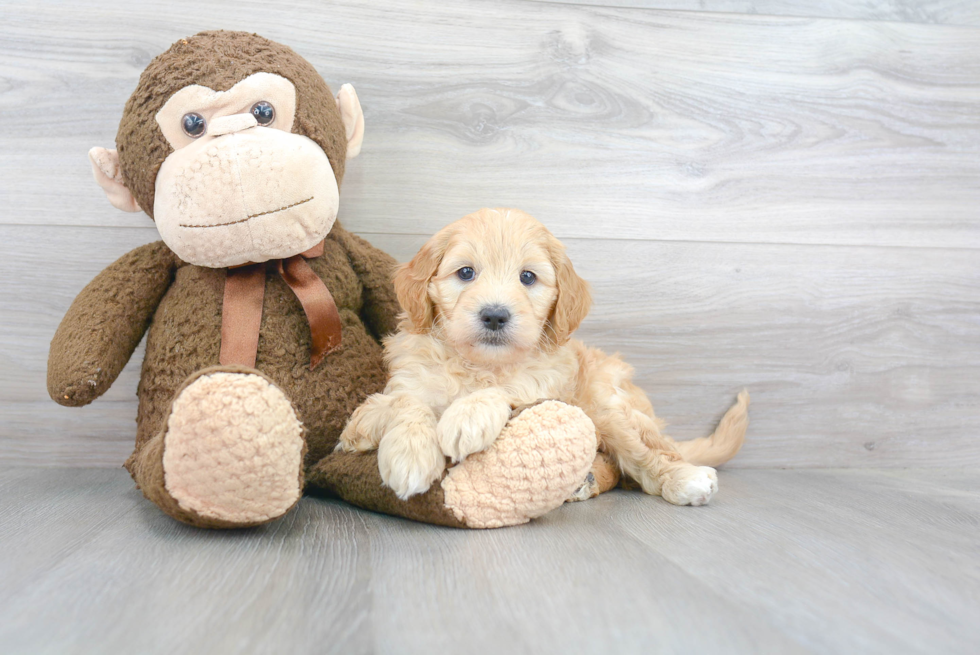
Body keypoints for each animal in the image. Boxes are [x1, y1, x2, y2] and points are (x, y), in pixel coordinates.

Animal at [338, 209, 752, 502]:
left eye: (528, 278)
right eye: (466, 273)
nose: (495, 315)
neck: (480, 365)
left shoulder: (548, 385)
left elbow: (510, 391)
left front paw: (467, 416)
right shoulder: (408, 377)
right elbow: (405, 402)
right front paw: (408, 453)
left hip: (606, 405)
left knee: (642, 454)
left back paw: (683, 479)